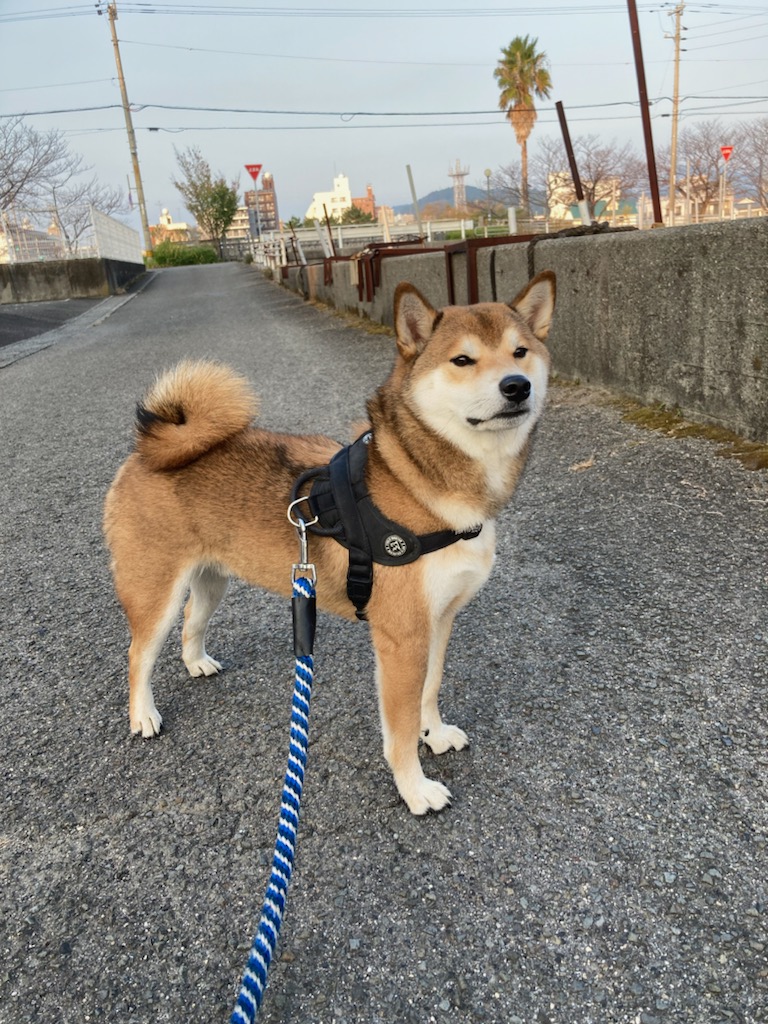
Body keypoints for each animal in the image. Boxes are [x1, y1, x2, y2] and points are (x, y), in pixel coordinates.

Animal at [103, 271, 556, 815]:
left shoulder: (439, 619)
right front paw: (415, 786)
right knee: (139, 654)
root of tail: (145, 452)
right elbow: (400, 727)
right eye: (463, 360)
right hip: (155, 591)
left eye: (520, 352)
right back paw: (143, 715)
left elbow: (430, 689)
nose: (516, 385)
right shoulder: (401, 636)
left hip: (211, 580)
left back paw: (197, 664)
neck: (420, 483)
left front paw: (435, 733)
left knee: (193, 620)